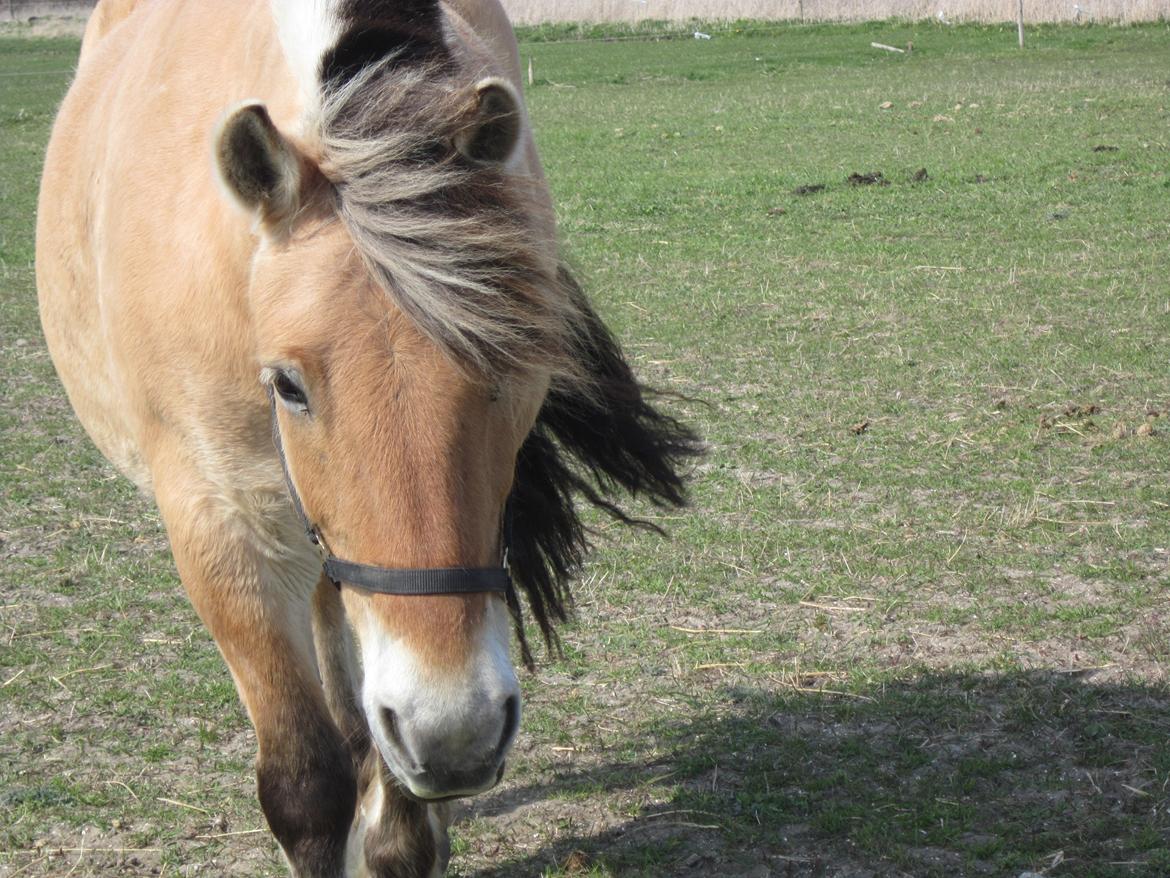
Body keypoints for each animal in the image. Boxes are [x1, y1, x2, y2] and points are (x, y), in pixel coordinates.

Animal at [36, 0, 697, 875]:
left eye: (513, 365)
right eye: (288, 385)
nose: (453, 731)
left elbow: (396, 821)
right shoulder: (220, 527)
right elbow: (304, 787)